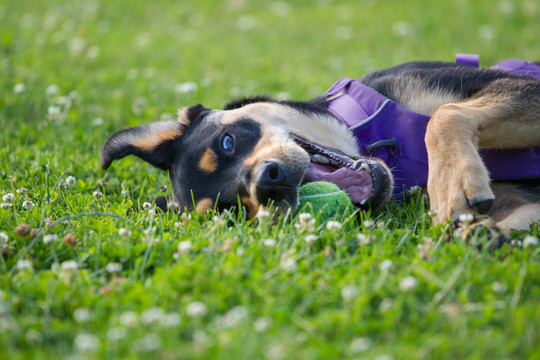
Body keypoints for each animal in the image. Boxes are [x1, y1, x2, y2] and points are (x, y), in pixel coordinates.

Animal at [100, 57, 540, 232]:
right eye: (234, 210)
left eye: (227, 142)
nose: (269, 182)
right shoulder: (522, 201)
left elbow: (443, 115)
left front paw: (451, 185)